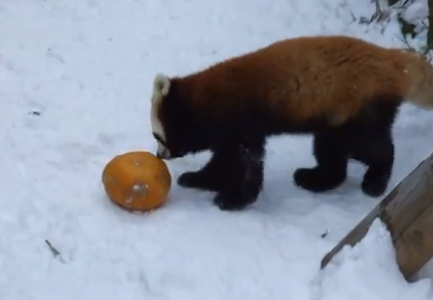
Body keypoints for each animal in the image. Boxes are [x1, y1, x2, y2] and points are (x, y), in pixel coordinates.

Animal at [148, 34, 432, 211]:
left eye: (157, 136)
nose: (159, 155)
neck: (207, 99)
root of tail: (392, 59)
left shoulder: (241, 123)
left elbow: (244, 163)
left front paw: (234, 199)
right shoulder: (233, 132)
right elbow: (225, 161)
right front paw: (199, 179)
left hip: (362, 108)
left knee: (373, 147)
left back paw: (376, 179)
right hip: (335, 119)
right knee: (331, 151)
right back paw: (315, 178)